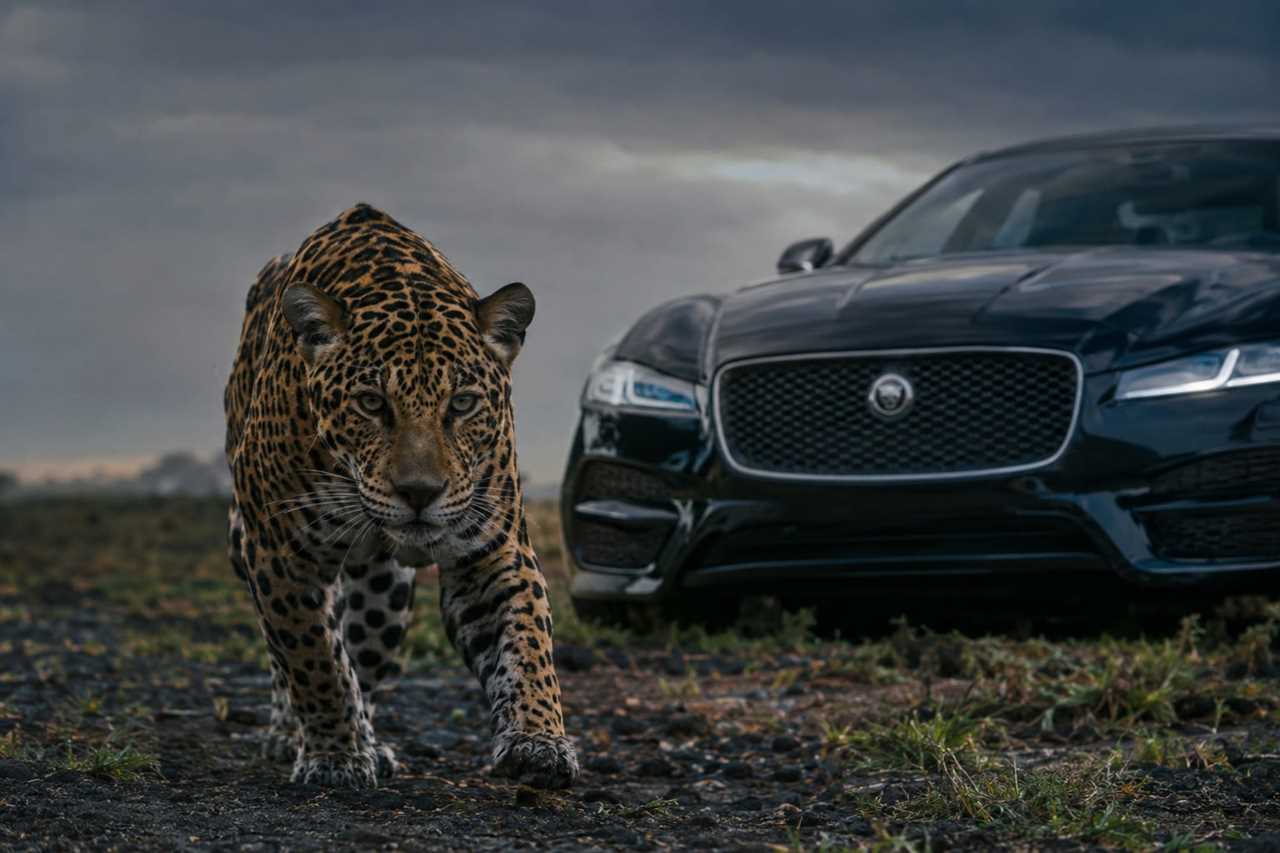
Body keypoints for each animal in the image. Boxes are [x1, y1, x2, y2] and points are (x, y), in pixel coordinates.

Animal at [223, 203, 578, 789]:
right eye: (371, 403)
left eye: (462, 403)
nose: (420, 492)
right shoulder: (278, 551)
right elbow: (312, 659)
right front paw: (335, 756)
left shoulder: (491, 552)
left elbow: (527, 643)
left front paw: (538, 741)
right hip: (246, 541)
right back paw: (292, 735)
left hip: (383, 597)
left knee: (362, 660)